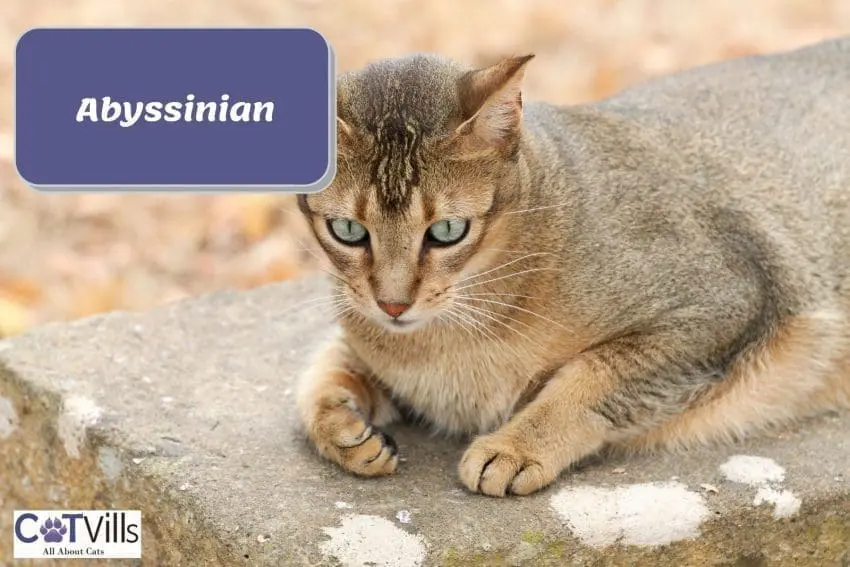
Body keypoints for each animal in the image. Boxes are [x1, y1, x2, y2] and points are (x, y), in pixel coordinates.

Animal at [294, 36, 848, 496]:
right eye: (348, 231)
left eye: (447, 231)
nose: (392, 304)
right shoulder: (361, 332)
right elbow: (317, 379)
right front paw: (340, 428)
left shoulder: (723, 304)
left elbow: (592, 377)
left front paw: (517, 446)